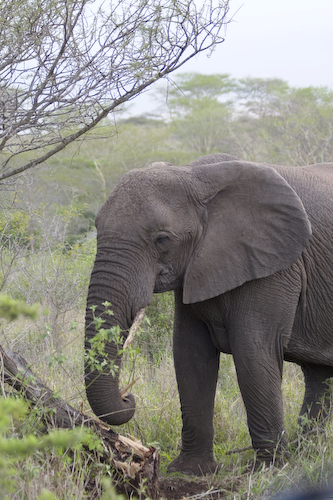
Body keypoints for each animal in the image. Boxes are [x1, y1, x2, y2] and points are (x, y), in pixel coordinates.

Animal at [83, 154, 333, 474]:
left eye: (162, 239)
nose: (128, 396)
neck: (194, 175)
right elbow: (190, 355)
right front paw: (189, 470)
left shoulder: (276, 267)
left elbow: (253, 351)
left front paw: (267, 471)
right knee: (319, 376)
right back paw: (308, 453)